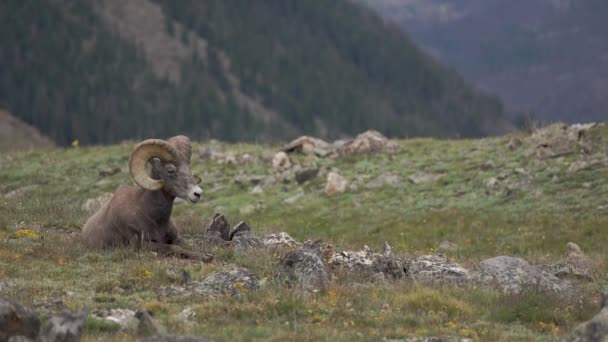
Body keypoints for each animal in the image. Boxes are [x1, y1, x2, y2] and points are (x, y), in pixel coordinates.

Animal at [81, 135, 211, 260]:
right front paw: (205, 257)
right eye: (170, 170)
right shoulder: (143, 244)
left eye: (189, 168)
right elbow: (174, 247)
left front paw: (205, 255)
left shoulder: (177, 238)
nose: (197, 193)